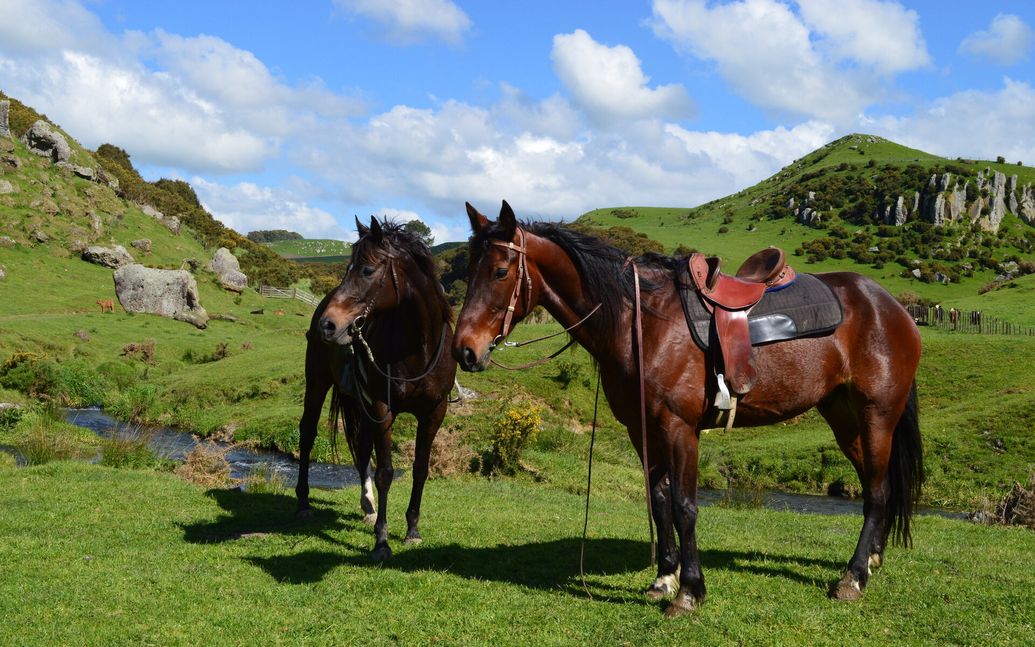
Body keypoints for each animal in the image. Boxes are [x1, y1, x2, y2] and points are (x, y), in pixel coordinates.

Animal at [298, 217, 457, 560]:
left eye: (368, 270)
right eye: (348, 267)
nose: (329, 324)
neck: (418, 348)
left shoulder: (434, 411)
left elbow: (420, 468)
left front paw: (412, 529)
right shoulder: (384, 409)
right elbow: (385, 472)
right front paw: (382, 541)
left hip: (362, 404)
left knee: (361, 446)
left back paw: (368, 506)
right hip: (317, 383)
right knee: (307, 435)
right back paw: (303, 501)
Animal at [452, 201, 923, 617]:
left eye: (499, 271)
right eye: (469, 271)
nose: (465, 351)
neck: (642, 321)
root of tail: (892, 307)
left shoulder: (679, 429)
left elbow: (684, 507)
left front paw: (690, 592)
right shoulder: (642, 430)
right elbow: (659, 502)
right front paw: (664, 579)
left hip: (877, 415)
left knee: (877, 493)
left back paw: (853, 577)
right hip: (844, 419)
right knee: (877, 487)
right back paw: (872, 560)